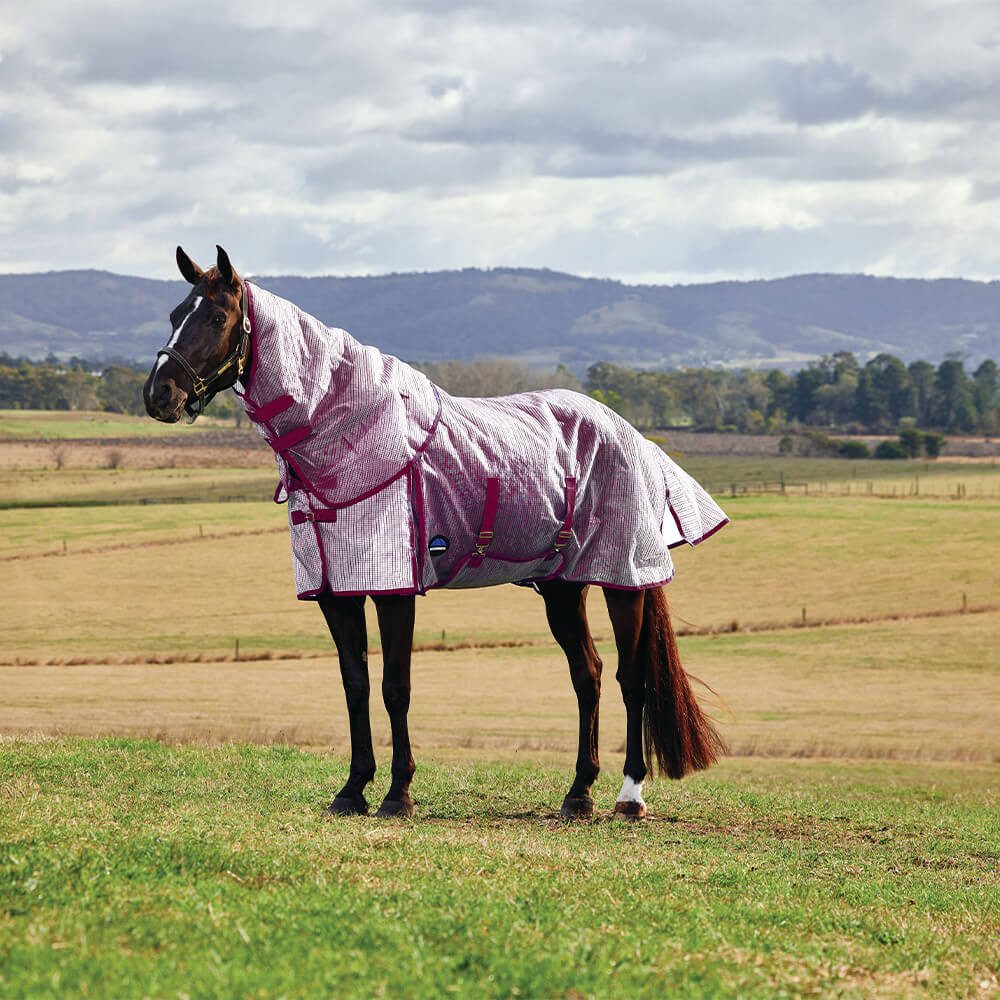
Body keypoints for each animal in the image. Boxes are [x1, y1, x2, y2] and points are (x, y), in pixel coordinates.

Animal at [144, 245, 728, 821]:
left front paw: (397, 794)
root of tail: (632, 436)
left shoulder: (394, 588)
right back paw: (578, 793)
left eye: (217, 317)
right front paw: (352, 789)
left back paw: (629, 797)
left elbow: (394, 687)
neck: (354, 436)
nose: (158, 395)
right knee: (588, 674)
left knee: (632, 678)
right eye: (174, 315)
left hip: (622, 579)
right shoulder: (335, 591)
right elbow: (355, 684)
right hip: (562, 587)